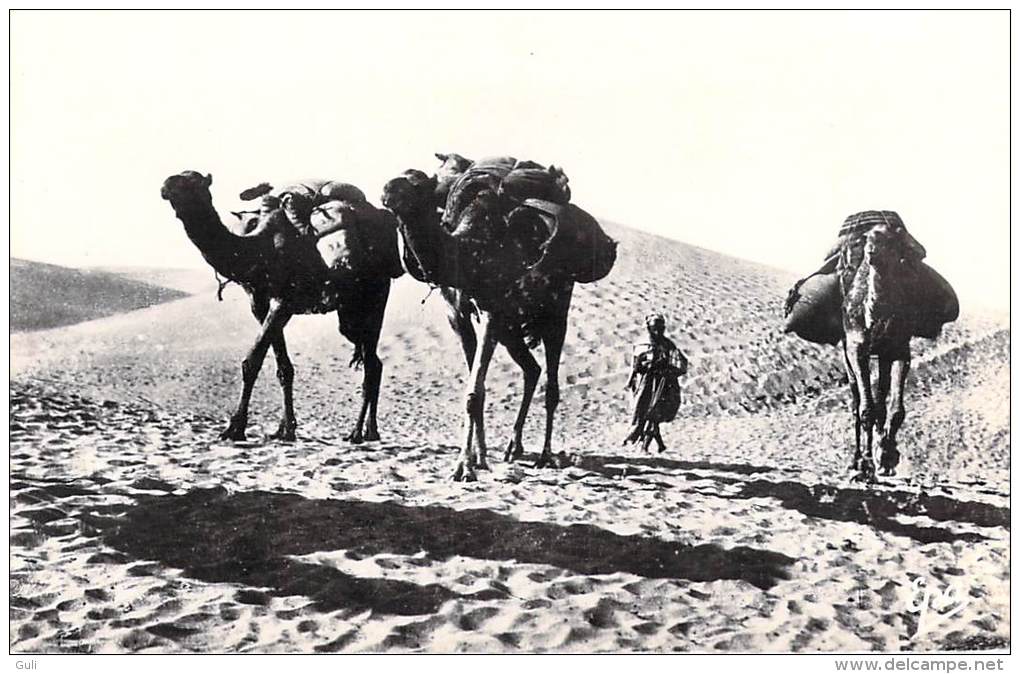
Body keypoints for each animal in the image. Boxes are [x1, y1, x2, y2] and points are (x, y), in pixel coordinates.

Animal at [836, 213, 934, 481]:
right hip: (846, 355)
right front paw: (866, 464)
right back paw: (855, 460)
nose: (871, 250)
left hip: (883, 356)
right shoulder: (856, 348)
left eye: (891, 238)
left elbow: (896, 409)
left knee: (881, 396)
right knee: (856, 401)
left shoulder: (899, 350)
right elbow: (866, 409)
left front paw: (887, 457)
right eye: (868, 237)